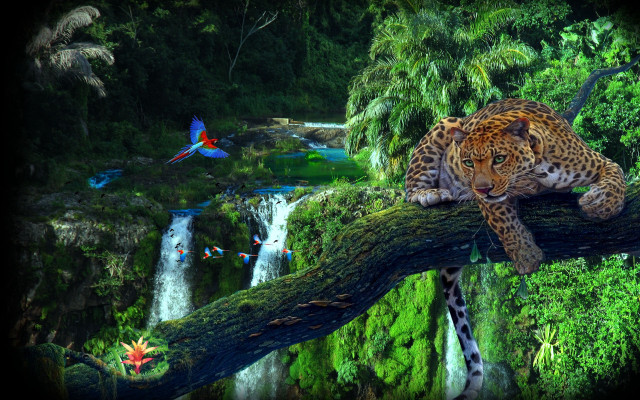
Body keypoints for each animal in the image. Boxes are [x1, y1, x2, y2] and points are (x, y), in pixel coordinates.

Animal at [405, 98, 626, 399]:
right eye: (467, 162)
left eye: (499, 158)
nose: (480, 189)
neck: (539, 168)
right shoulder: (492, 200)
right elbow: (504, 220)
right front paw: (525, 254)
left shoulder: (596, 161)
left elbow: (617, 175)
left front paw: (601, 204)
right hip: (445, 124)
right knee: (409, 190)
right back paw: (429, 194)